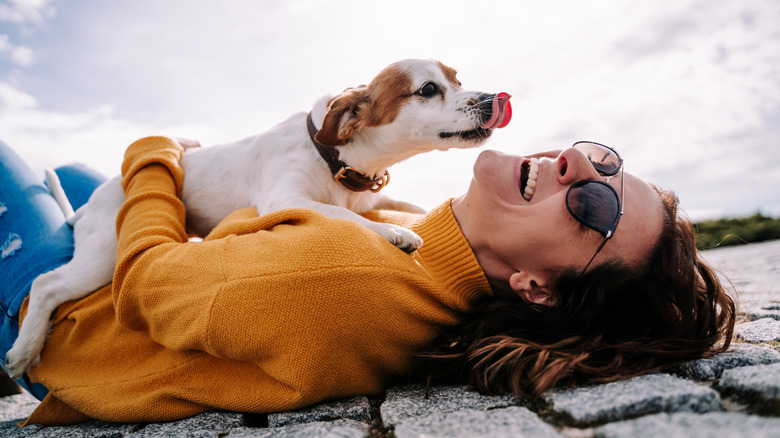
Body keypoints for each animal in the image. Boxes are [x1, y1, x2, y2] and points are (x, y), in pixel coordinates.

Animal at [7, 58, 516, 378]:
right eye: (428, 89)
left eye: (458, 79)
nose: (494, 97)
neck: (335, 158)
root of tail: (91, 203)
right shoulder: (283, 198)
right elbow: (341, 214)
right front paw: (392, 232)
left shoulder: (368, 195)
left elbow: (403, 207)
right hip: (102, 255)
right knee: (44, 285)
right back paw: (24, 350)